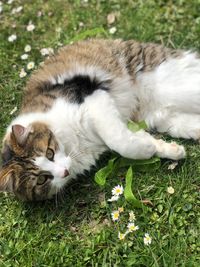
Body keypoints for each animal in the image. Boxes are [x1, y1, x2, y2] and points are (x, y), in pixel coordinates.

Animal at [1, 38, 200, 202]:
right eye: (42, 179)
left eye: (50, 153)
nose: (64, 172)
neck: (73, 143)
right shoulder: (126, 125)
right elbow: (137, 140)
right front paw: (167, 150)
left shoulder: (94, 98)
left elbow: (120, 142)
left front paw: (148, 149)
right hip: (164, 116)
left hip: (174, 88)